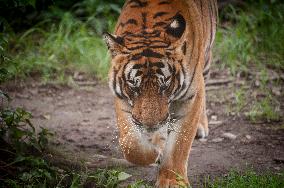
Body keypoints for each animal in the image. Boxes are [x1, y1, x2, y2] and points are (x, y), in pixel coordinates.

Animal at [103, 0, 217, 187]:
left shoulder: (190, 97)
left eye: (165, 84)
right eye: (133, 86)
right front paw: (154, 153)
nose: (151, 124)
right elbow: (131, 144)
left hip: (206, 60)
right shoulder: (122, 98)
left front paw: (173, 181)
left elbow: (179, 145)